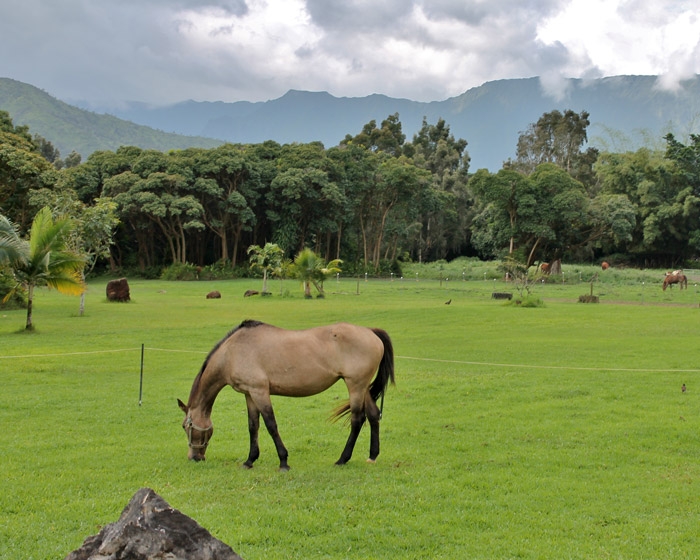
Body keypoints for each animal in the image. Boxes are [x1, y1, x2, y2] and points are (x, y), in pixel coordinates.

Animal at [176, 320, 394, 468]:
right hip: (362, 387)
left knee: (357, 420)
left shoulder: (260, 391)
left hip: (355, 386)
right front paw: (250, 460)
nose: (194, 458)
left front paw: (283, 461)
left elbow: (270, 425)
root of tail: (371, 332)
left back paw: (342, 459)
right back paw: (372, 455)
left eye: (185, 426)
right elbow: (253, 427)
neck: (232, 352)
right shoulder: (249, 394)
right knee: (373, 415)